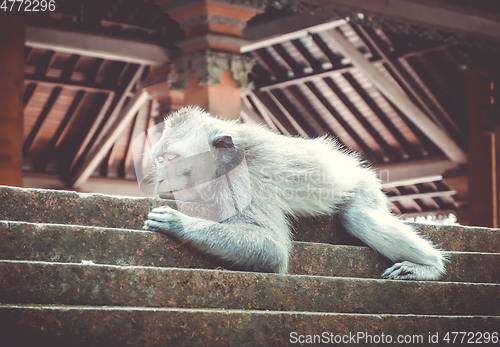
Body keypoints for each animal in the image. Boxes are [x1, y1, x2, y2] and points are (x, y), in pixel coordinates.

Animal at [143, 105, 448, 280]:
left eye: (172, 158)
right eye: (160, 159)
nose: (160, 178)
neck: (225, 162)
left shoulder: (246, 182)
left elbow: (271, 248)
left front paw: (177, 222)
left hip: (362, 184)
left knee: (361, 217)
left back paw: (429, 266)